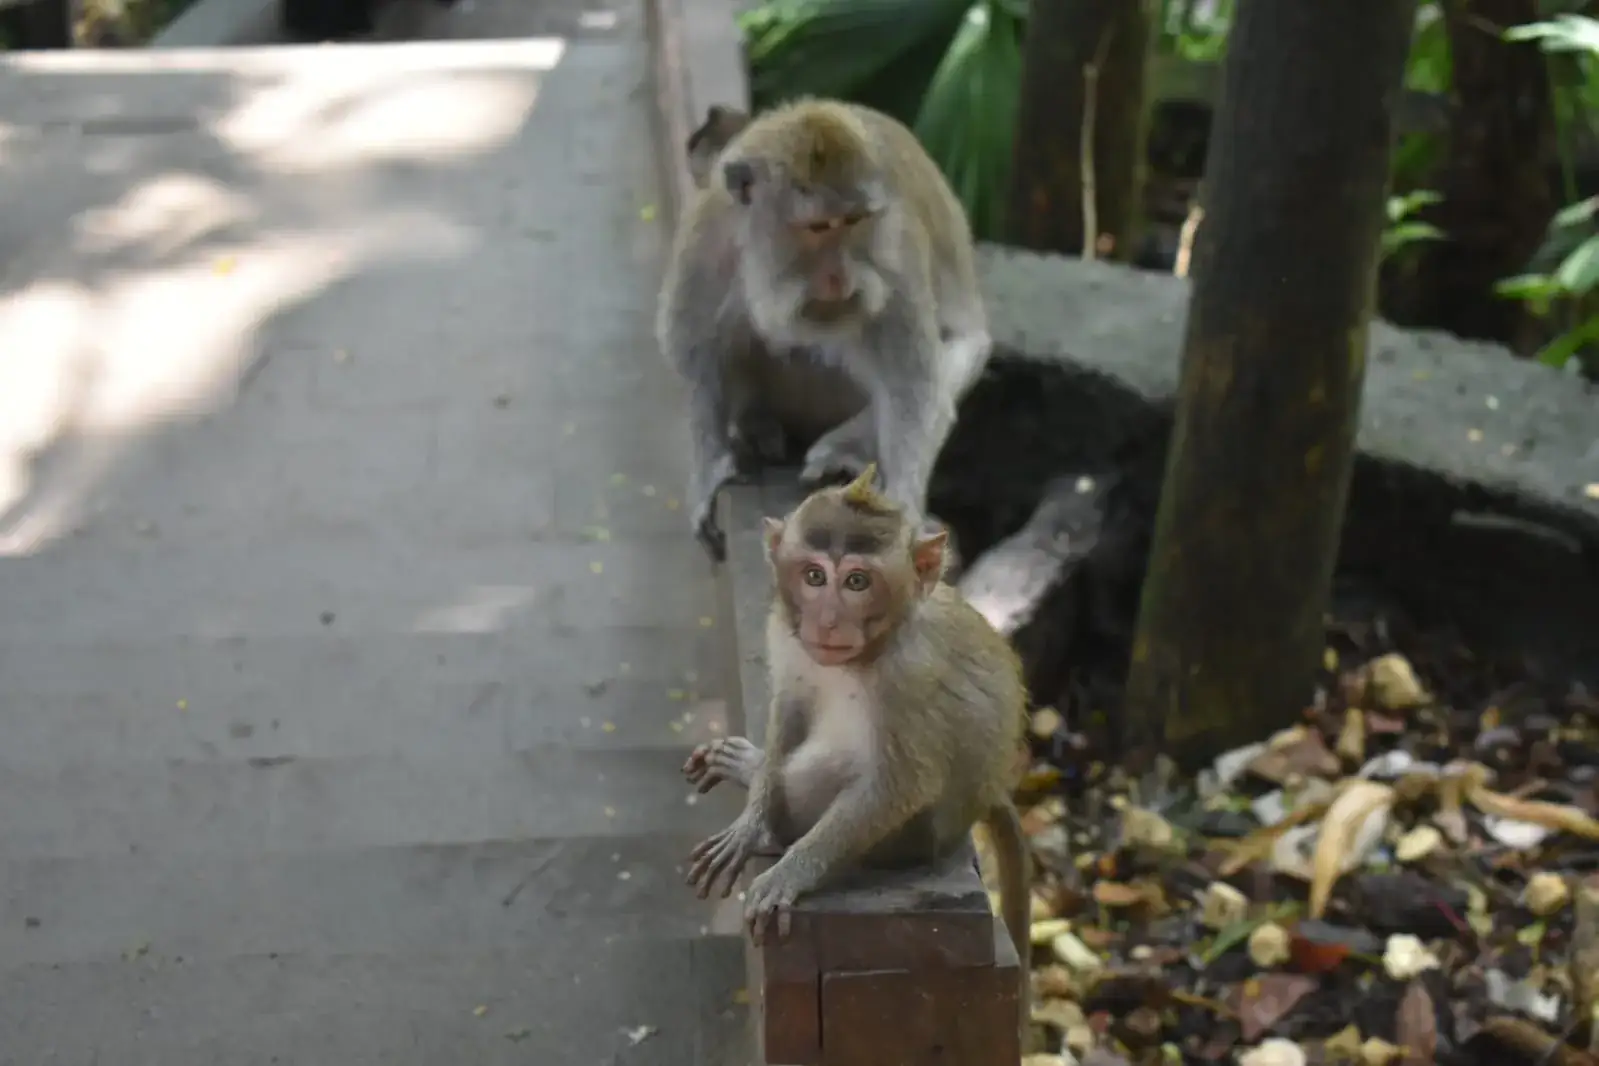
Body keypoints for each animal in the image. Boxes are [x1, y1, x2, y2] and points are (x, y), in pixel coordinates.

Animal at [656, 98, 992, 563]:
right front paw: (711, 469)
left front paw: (902, 507)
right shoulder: (707, 238)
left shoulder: (896, 254)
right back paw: (759, 425)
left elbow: (914, 383)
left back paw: (846, 448)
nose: (839, 277)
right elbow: (697, 353)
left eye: (854, 221)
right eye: (818, 228)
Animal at [680, 466, 1032, 1040]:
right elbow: (789, 709)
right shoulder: (786, 634)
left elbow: (902, 783)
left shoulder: (906, 676)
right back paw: (750, 771)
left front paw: (790, 872)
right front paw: (751, 823)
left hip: (910, 840)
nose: (825, 622)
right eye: (814, 576)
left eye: (857, 582)